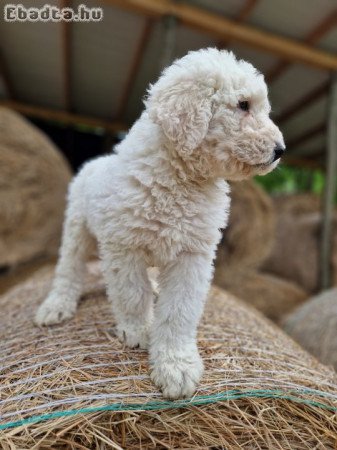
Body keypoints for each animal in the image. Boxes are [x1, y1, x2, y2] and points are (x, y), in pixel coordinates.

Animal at [36, 49, 284, 400]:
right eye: (243, 105)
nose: (281, 150)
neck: (180, 178)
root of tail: (95, 162)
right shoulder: (124, 247)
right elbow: (132, 293)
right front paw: (137, 331)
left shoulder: (192, 255)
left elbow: (179, 309)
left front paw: (176, 366)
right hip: (76, 227)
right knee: (69, 267)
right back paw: (57, 305)